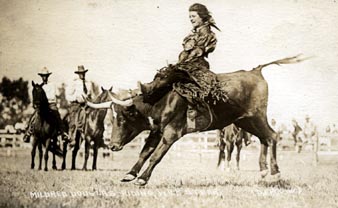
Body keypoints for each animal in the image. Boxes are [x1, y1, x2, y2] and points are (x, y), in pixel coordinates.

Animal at [86, 54, 304, 185]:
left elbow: (156, 156)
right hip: (244, 121)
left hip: (257, 116)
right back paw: (263, 170)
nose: (112, 146)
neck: (162, 98)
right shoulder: (156, 131)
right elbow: (144, 152)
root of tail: (255, 71)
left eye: (123, 119)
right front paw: (130, 174)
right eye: (112, 118)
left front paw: (142, 179)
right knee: (264, 138)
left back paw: (274, 172)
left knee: (273, 136)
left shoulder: (171, 133)